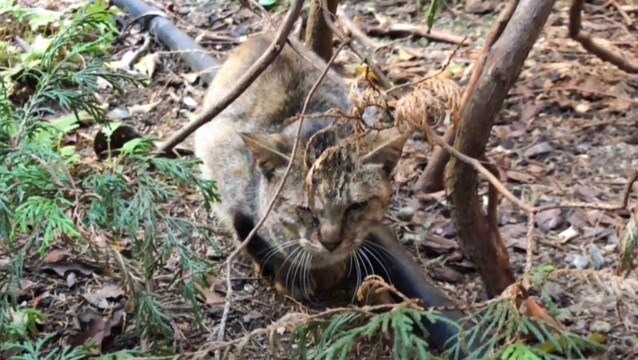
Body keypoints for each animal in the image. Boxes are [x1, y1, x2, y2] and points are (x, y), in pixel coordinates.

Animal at [195, 32, 412, 300]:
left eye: (356, 206)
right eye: (305, 209)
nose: (331, 242)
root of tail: (262, 35)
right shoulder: (227, 170)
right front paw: (288, 275)